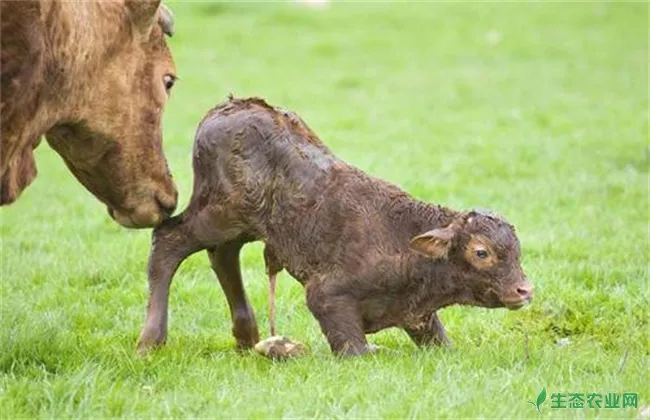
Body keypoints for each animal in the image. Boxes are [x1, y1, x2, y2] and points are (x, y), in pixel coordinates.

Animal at [135, 97, 532, 356]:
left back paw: (247, 338)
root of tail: (226, 109)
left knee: (222, 257)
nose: (525, 290)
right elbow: (355, 348)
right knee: (169, 241)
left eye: (517, 250)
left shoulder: (417, 315)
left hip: (241, 227)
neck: (402, 240)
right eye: (481, 252)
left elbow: (439, 341)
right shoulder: (327, 295)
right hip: (218, 216)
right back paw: (150, 341)